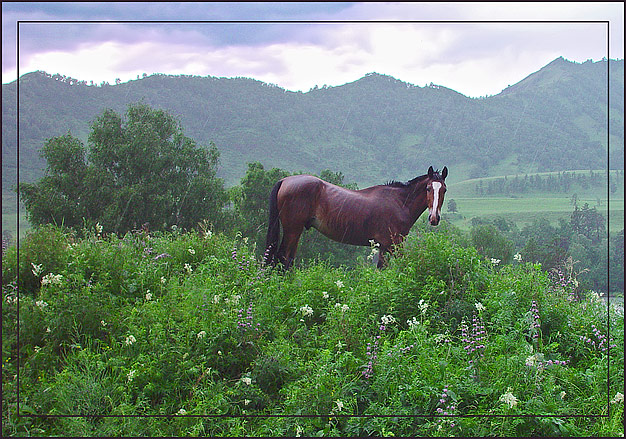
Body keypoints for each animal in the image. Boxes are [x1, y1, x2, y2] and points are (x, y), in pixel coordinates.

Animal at [260, 165, 446, 268]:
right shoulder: (395, 246)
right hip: (292, 230)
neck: (399, 203)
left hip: (295, 232)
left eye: (444, 189)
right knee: (282, 258)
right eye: (428, 188)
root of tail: (284, 181)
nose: (434, 218)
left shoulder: (384, 247)